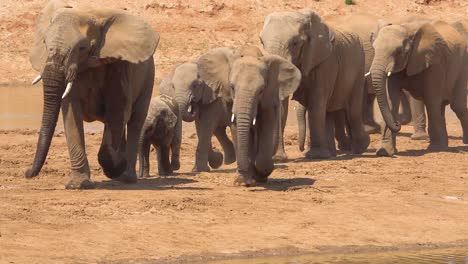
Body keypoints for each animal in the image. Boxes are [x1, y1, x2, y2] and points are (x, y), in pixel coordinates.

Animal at [25, 1, 159, 189]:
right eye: (44, 43)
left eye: (82, 48)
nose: (27, 173)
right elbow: (71, 115)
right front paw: (78, 185)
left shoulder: (119, 66)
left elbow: (118, 111)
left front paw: (116, 168)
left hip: (148, 78)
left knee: (135, 121)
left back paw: (126, 177)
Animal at [197, 46, 300, 186]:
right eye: (232, 87)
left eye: (261, 90)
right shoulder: (229, 99)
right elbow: (236, 128)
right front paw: (242, 181)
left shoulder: (269, 96)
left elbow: (267, 125)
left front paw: (261, 174)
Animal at [260, 8, 370, 159]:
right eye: (261, 42)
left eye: (295, 43)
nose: (300, 149)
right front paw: (278, 157)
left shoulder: (325, 62)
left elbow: (316, 101)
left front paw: (315, 155)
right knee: (329, 111)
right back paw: (331, 153)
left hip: (360, 65)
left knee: (353, 109)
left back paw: (360, 148)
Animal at [372, 20, 466, 157]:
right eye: (373, 48)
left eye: (399, 51)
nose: (397, 123)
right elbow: (391, 101)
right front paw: (384, 152)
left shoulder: (434, 63)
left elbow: (431, 100)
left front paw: (435, 148)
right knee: (442, 106)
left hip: (462, 67)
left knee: (457, 106)